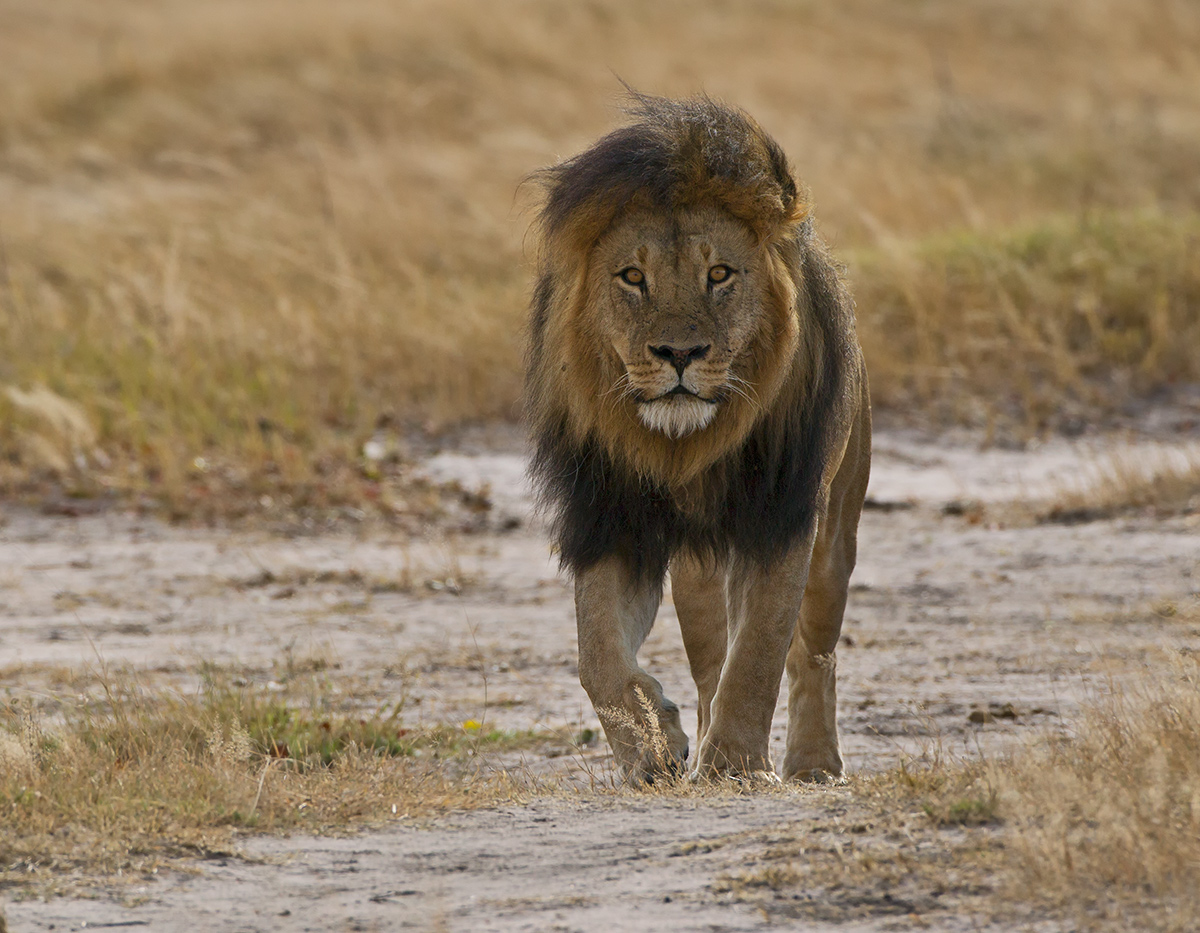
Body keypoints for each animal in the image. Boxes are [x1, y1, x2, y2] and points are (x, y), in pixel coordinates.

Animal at [526, 95, 871, 784]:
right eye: (633, 277)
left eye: (720, 274)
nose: (679, 353)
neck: (682, 451)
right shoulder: (610, 520)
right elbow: (597, 655)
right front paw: (654, 747)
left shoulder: (781, 518)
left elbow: (761, 651)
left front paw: (736, 764)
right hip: (697, 571)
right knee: (711, 660)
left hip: (835, 535)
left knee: (813, 654)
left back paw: (814, 761)